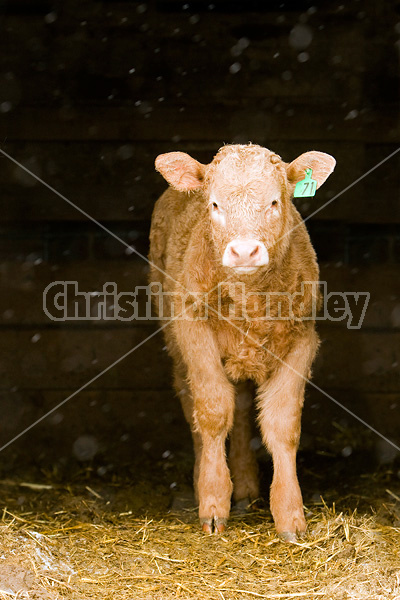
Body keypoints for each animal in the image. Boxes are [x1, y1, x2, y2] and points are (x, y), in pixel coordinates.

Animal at [148, 144, 336, 540]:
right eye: (215, 204)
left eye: (275, 202)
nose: (245, 251)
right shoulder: (193, 332)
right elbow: (214, 411)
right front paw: (213, 502)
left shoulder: (303, 339)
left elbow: (282, 423)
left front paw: (289, 514)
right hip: (175, 340)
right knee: (193, 405)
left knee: (245, 406)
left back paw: (247, 484)